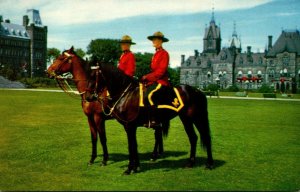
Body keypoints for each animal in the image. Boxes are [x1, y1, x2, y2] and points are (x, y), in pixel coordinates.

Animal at [85, 63, 214, 175]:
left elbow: (131, 146)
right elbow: (134, 145)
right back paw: (191, 163)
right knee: (193, 138)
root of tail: (198, 91)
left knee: (206, 137)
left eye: (93, 77)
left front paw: (129, 169)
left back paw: (209, 164)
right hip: (186, 119)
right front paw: (135, 167)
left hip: (197, 118)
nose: (88, 97)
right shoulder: (131, 127)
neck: (125, 94)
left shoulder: (129, 126)